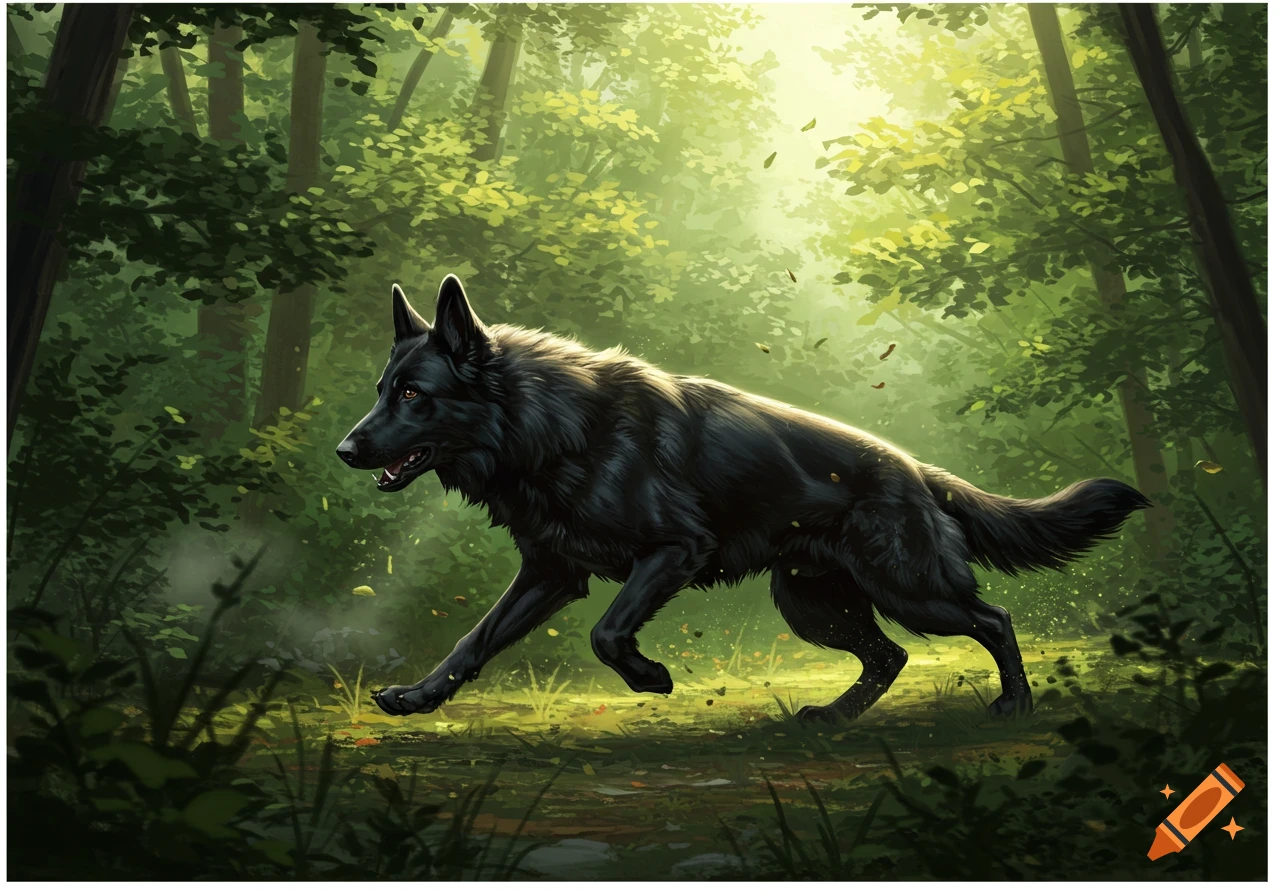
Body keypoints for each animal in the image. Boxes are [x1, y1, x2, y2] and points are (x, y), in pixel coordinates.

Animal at [337, 275, 1150, 721]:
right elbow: (472, 641)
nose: (344, 450)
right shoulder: (550, 573)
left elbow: (607, 631)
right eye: (380, 389)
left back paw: (1014, 704)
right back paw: (833, 719)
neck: (551, 429)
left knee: (994, 620)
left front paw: (651, 677)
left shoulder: (673, 552)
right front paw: (417, 699)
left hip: (910, 590)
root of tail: (918, 469)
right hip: (811, 605)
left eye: (413, 394)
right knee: (887, 657)